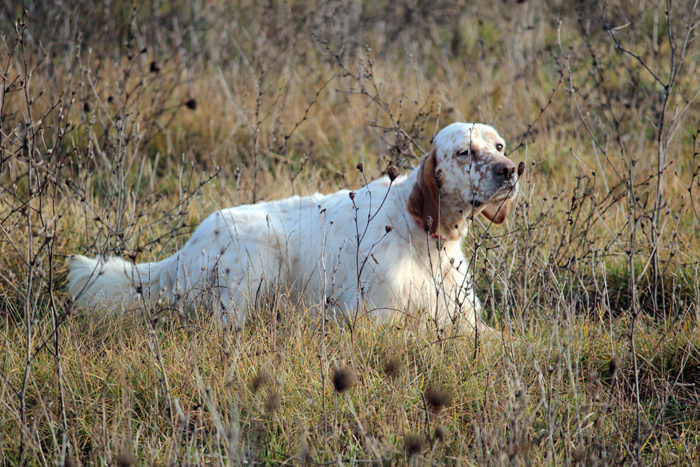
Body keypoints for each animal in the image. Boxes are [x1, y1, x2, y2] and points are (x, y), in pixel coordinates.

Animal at [68, 122, 520, 330]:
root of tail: (186, 249)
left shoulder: (467, 318)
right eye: (464, 152)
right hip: (254, 266)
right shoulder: (373, 316)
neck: (423, 235)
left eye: (499, 145)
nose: (510, 170)